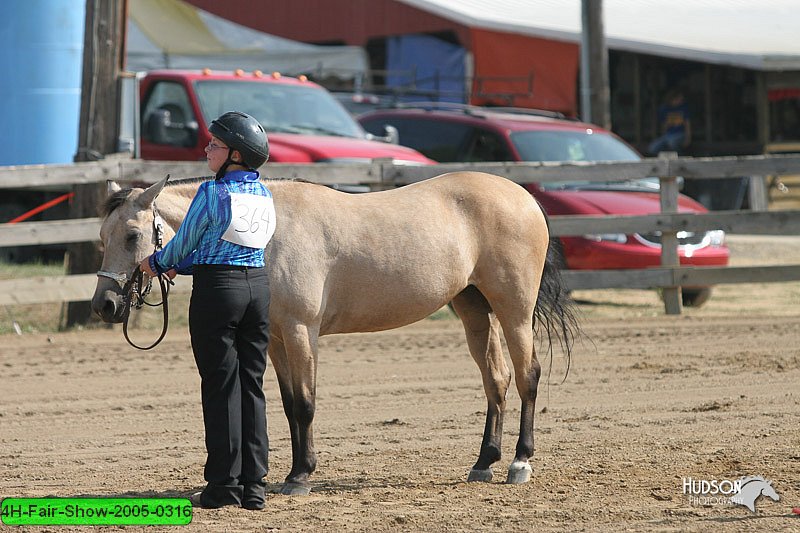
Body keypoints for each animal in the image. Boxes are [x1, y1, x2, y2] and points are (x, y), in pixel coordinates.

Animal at [92, 170, 580, 494]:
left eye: (132, 235)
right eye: (102, 236)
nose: (105, 305)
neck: (264, 230)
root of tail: (523, 195)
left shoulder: (301, 331)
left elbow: (306, 404)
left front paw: (301, 476)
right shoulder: (276, 340)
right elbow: (290, 405)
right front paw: (291, 472)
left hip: (515, 310)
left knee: (527, 376)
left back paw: (520, 462)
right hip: (474, 309)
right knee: (496, 380)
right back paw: (483, 463)